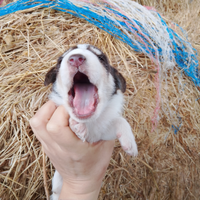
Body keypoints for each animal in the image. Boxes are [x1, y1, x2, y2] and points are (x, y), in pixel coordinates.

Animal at [44, 44, 138, 200]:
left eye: (101, 58)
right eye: (60, 61)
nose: (76, 58)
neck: (89, 122)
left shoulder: (101, 133)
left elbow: (120, 120)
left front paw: (130, 144)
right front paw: (76, 126)